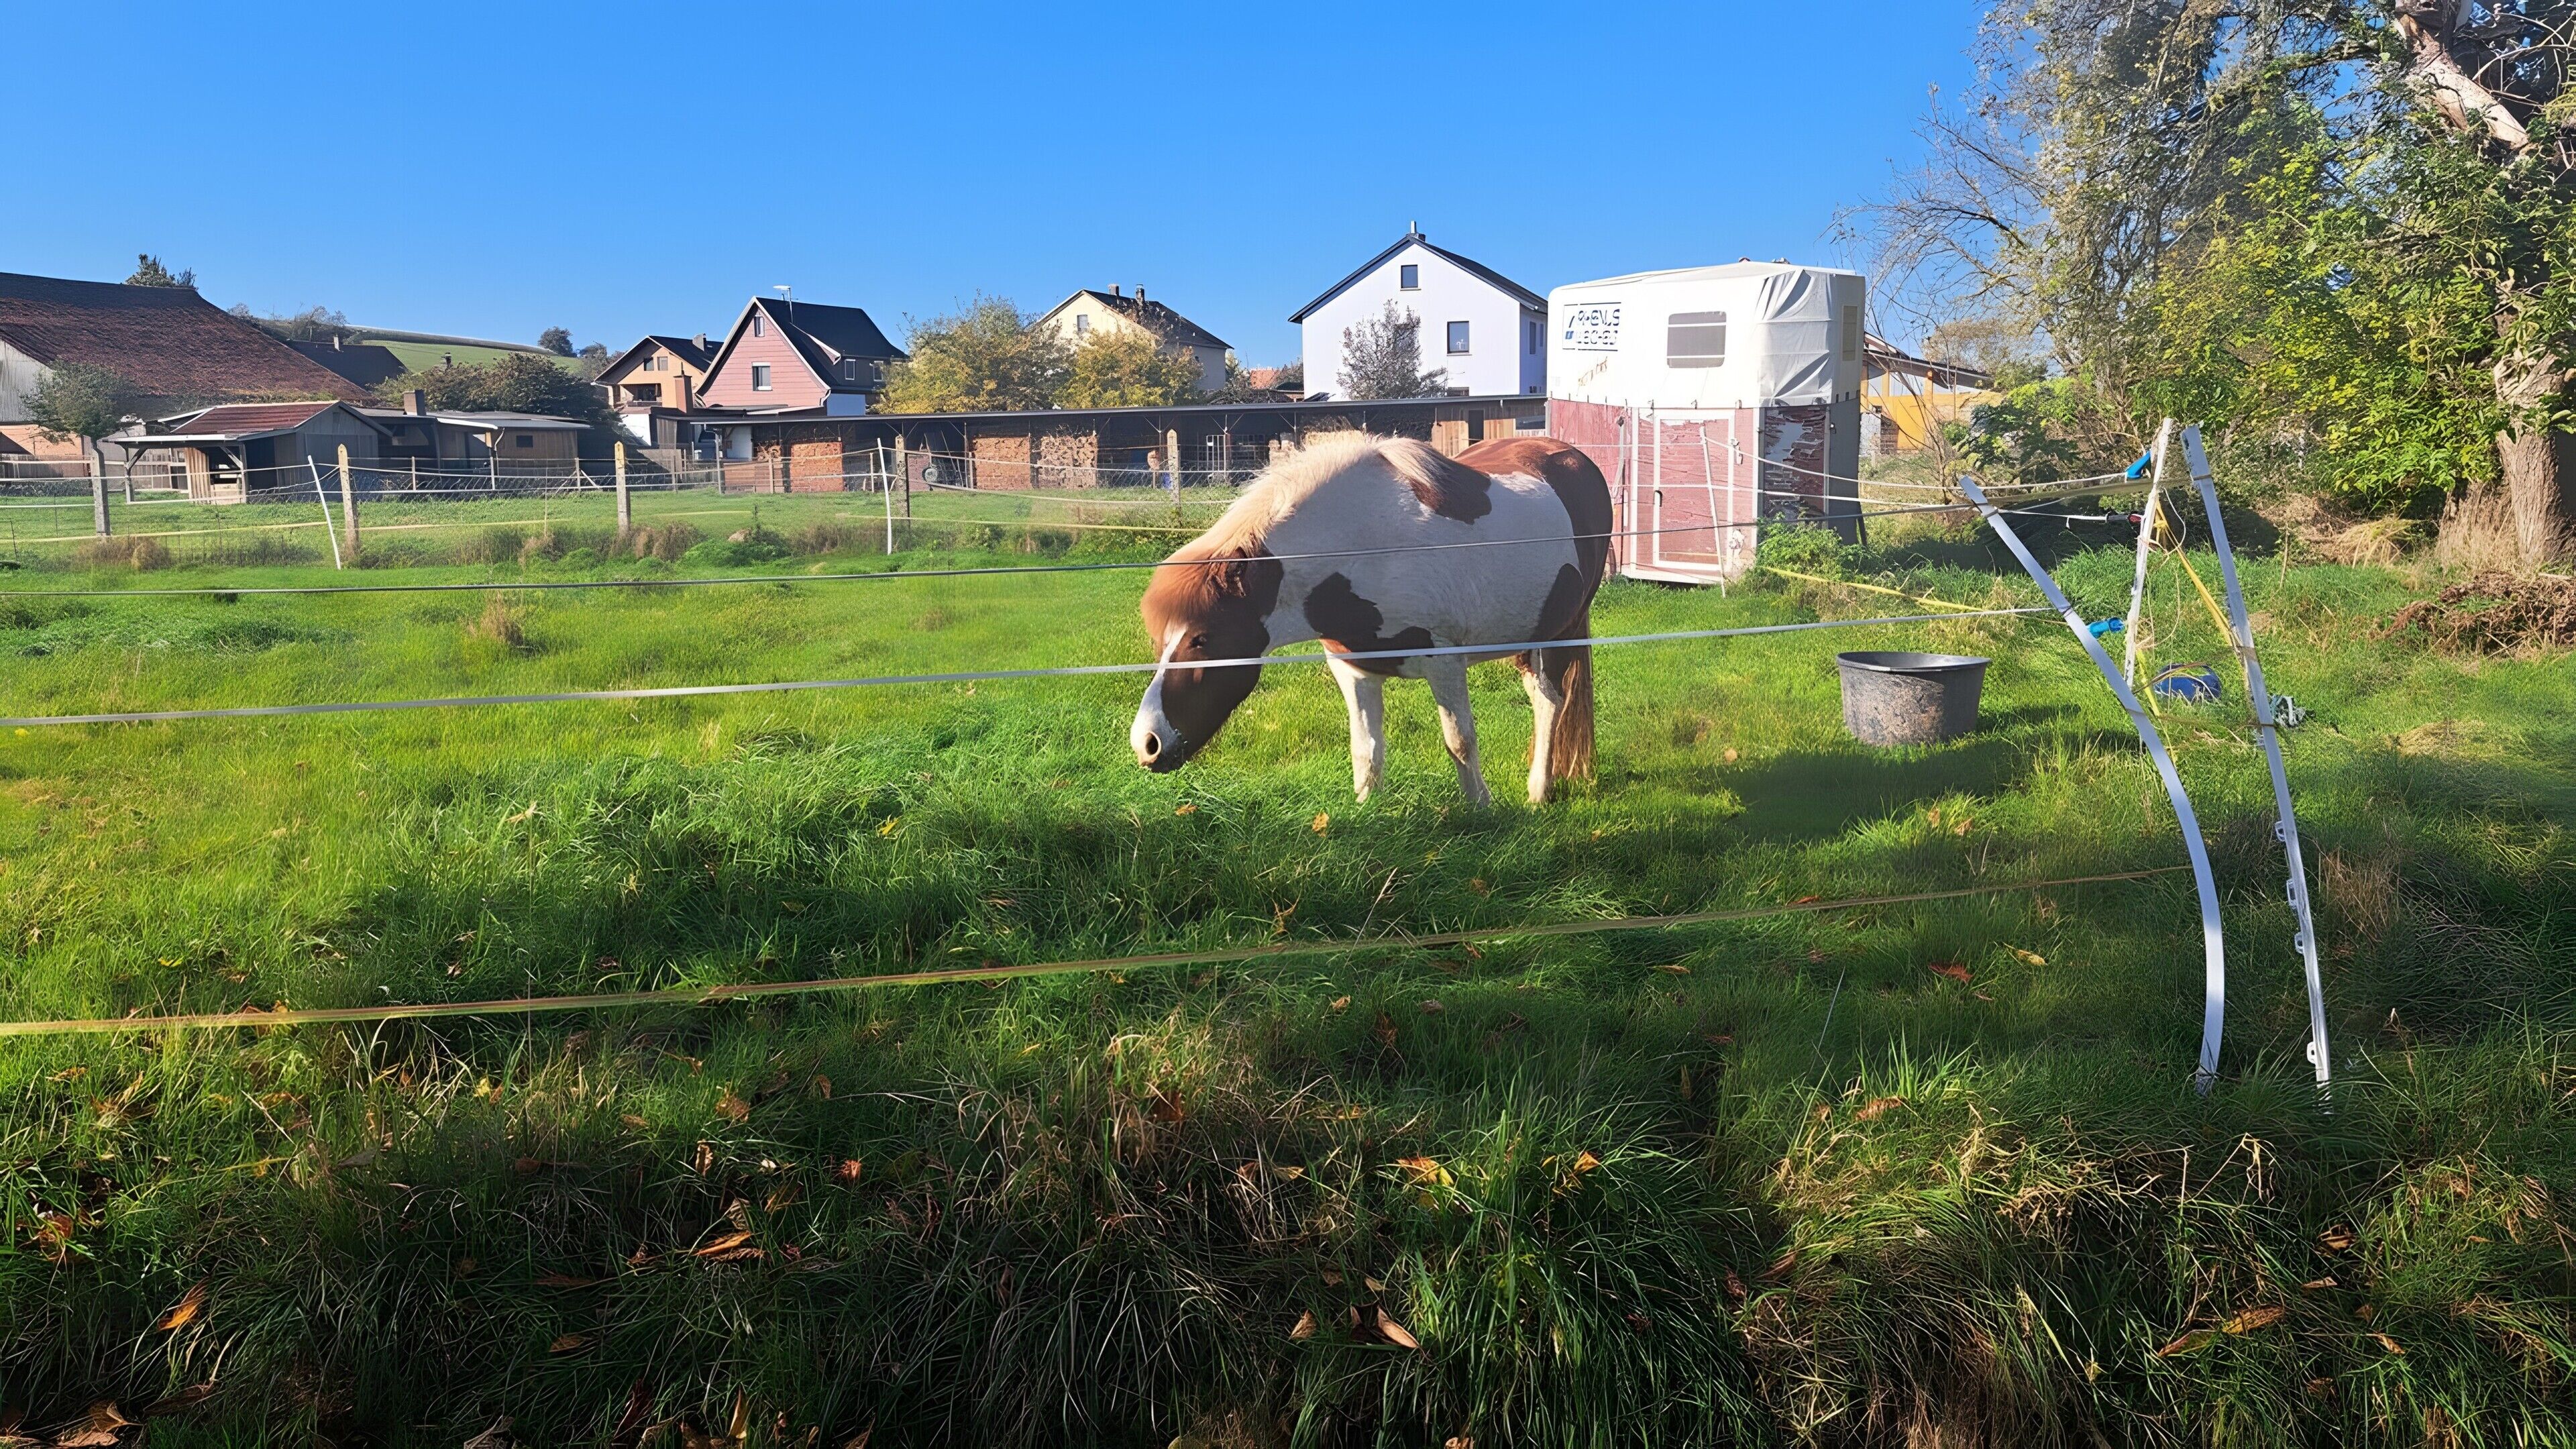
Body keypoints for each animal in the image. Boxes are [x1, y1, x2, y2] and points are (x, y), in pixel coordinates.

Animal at [1128, 433, 1612, 806]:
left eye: (1202, 639)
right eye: (1159, 639)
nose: (1148, 743)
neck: (1366, 546)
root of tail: (1572, 457)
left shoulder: (1445, 663)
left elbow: (1460, 741)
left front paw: (1482, 809)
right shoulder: (1353, 669)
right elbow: (1367, 749)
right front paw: (1367, 813)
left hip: (1559, 634)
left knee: (1549, 703)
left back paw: (1538, 791)